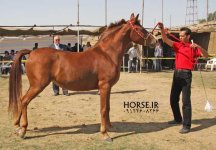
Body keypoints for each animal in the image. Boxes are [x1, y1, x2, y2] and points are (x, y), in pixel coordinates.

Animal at [8, 13, 157, 141]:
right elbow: (103, 109)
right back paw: (23, 130)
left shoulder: (108, 88)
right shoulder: (104, 86)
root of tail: (31, 53)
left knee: (21, 100)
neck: (107, 54)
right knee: (24, 101)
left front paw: (109, 127)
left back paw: (17, 126)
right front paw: (105, 134)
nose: (154, 41)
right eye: (139, 28)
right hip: (37, 85)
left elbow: (108, 107)